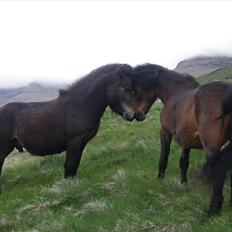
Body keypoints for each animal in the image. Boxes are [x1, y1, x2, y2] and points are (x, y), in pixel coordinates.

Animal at [0, 63, 136, 183]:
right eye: (124, 88)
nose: (131, 115)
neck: (80, 105)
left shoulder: (82, 142)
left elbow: (75, 164)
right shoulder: (74, 141)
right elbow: (70, 164)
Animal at [120, 63, 232, 214]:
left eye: (135, 90)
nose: (137, 115)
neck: (175, 94)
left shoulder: (165, 132)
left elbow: (163, 158)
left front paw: (159, 179)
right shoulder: (187, 140)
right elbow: (184, 163)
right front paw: (183, 183)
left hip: (211, 148)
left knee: (219, 172)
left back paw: (213, 209)